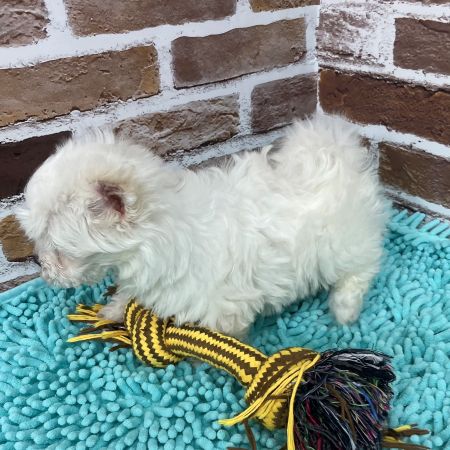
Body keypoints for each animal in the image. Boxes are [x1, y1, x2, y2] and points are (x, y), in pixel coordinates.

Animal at [17, 114, 388, 337]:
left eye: (57, 248)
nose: (39, 263)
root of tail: (334, 155)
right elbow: (130, 291)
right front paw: (114, 308)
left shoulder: (224, 305)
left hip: (345, 242)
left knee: (363, 266)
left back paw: (344, 308)